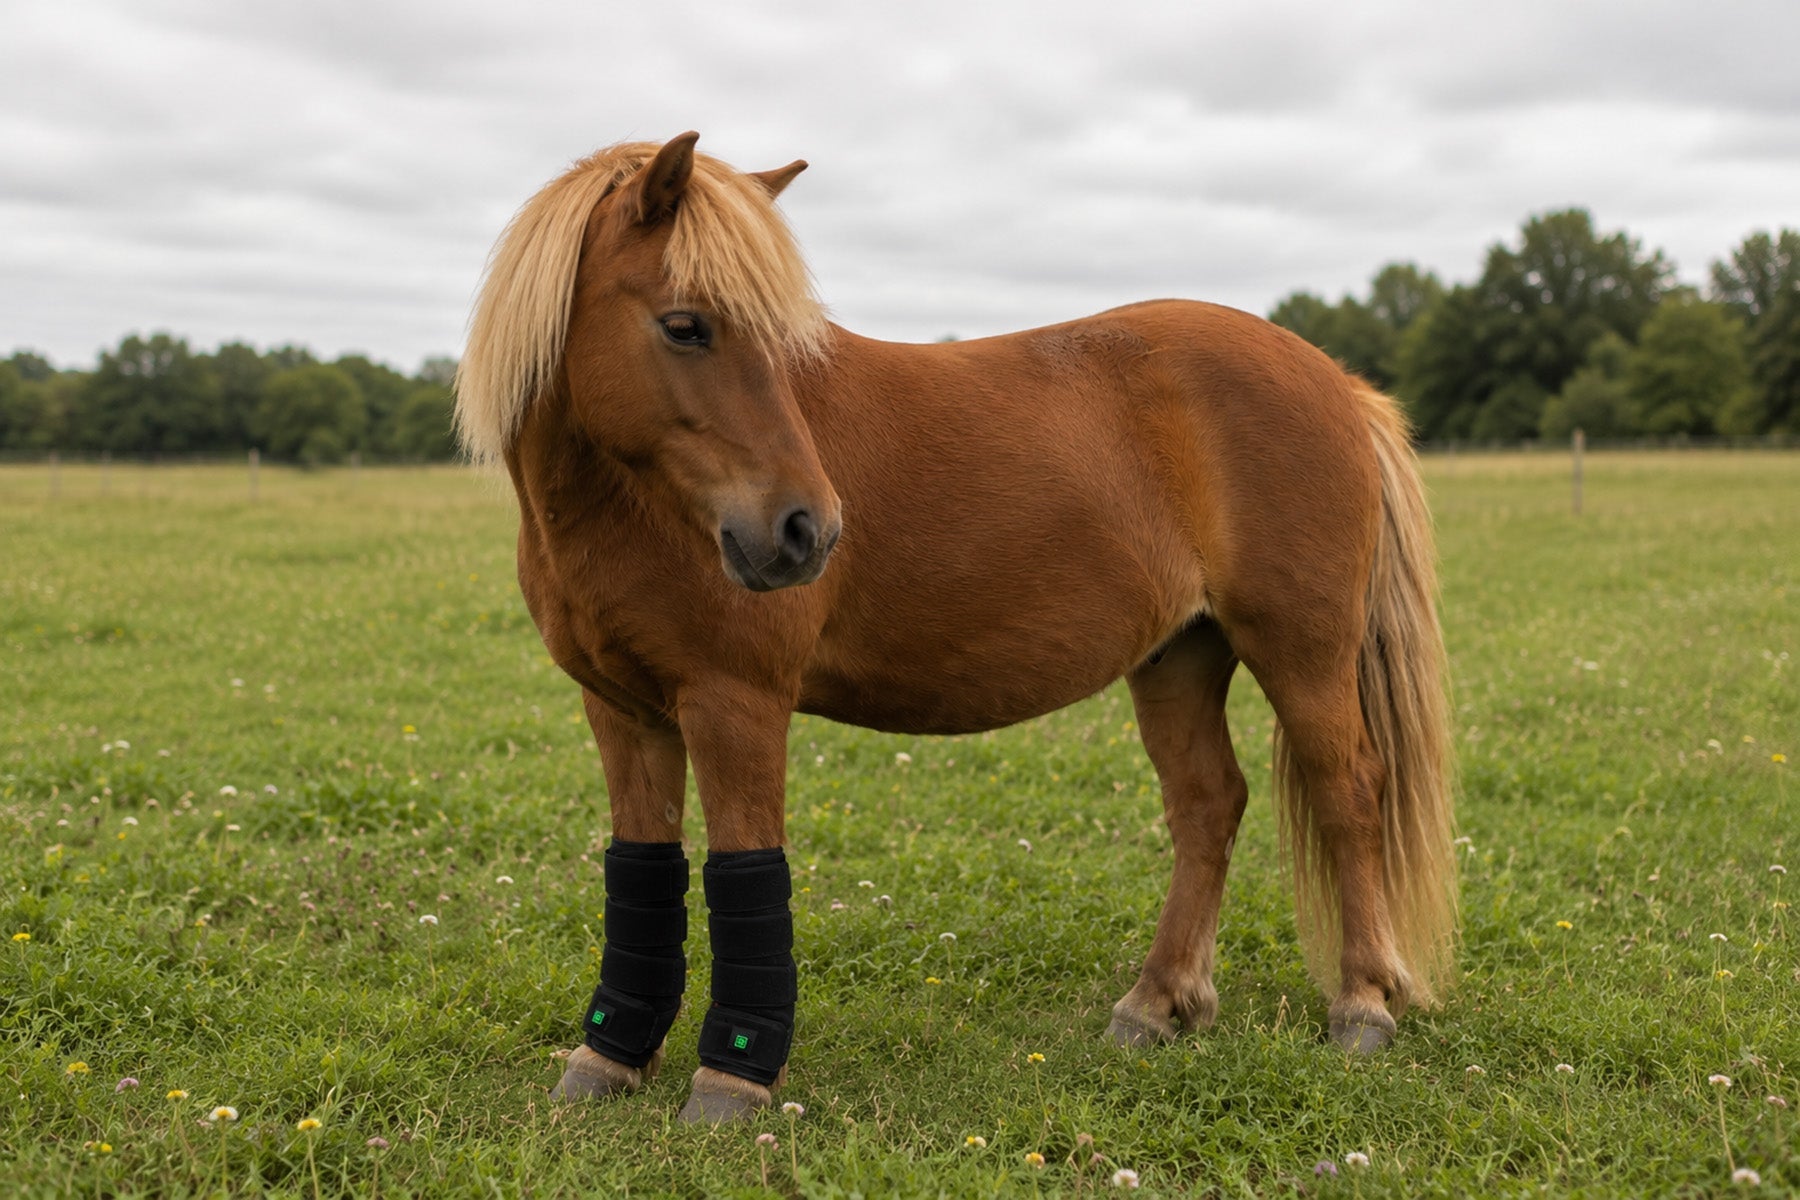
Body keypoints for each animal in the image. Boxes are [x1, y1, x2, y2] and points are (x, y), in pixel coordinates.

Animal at [454, 132, 1456, 1123]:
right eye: (684, 325)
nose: (806, 531)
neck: (632, 509)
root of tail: (1338, 382)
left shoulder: (735, 704)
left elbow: (743, 866)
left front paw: (731, 1080)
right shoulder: (623, 711)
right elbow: (642, 867)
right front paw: (607, 1059)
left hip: (1302, 652)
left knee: (1348, 789)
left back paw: (1362, 1005)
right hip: (1179, 657)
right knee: (1209, 805)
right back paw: (1157, 1004)